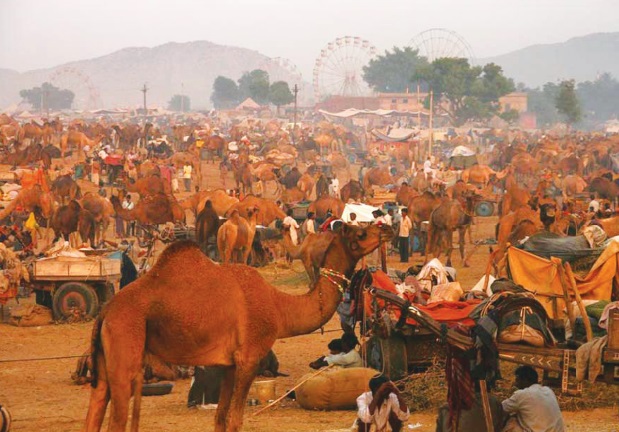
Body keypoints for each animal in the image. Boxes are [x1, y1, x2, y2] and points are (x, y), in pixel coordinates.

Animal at [82, 223, 392, 432]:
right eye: (360, 233)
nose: (386, 227)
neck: (278, 307)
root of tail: (106, 311)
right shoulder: (250, 358)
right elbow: (235, 421)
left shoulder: (230, 364)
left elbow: (221, 419)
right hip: (126, 343)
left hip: (106, 364)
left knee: (94, 410)